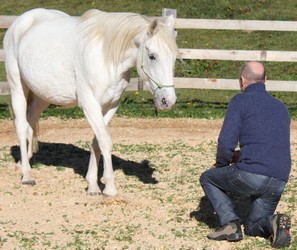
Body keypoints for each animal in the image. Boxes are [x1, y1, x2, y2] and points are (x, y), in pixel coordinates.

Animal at [4, 7, 178, 196]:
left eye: (174, 58)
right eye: (152, 56)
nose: (168, 100)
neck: (106, 59)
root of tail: (21, 21)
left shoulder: (110, 106)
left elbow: (96, 142)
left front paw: (93, 186)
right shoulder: (90, 104)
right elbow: (105, 141)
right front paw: (110, 187)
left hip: (43, 95)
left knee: (30, 121)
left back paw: (23, 163)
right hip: (17, 87)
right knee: (21, 126)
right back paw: (27, 175)